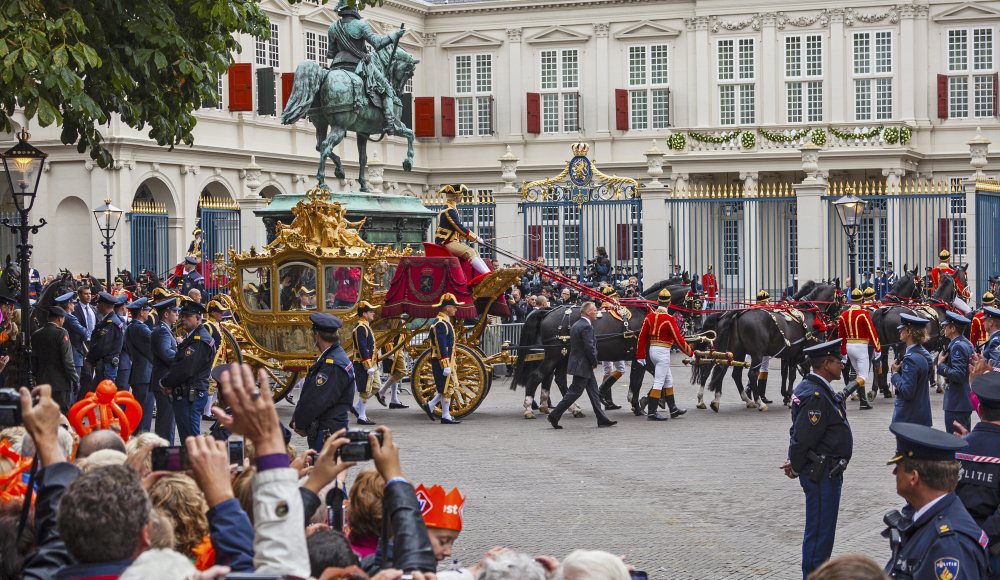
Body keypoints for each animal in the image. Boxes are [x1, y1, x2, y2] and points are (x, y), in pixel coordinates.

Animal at [282, 46, 418, 190]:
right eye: (409, 73)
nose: (399, 92)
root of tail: (325, 74)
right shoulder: (397, 125)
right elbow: (410, 134)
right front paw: (408, 162)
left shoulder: (363, 132)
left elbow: (363, 157)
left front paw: (363, 184)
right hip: (340, 127)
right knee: (325, 146)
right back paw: (322, 181)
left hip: (321, 123)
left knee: (320, 145)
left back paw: (339, 169)